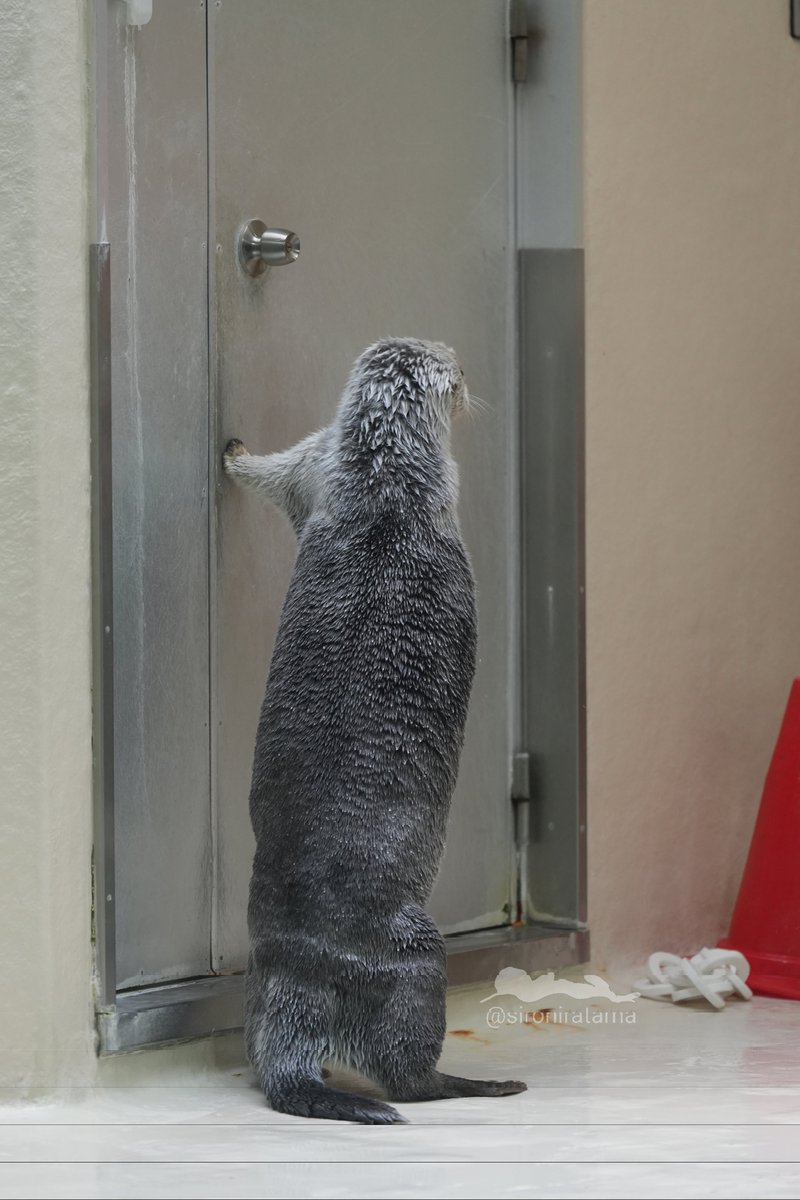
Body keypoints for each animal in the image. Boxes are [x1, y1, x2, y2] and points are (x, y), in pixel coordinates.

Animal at [225, 333, 525, 1118]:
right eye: (460, 373)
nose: (467, 375)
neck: (386, 488)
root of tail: (309, 969)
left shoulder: (318, 467)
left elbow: (279, 476)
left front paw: (234, 452)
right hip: (417, 961)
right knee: (409, 1072)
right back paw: (479, 1084)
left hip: (260, 980)